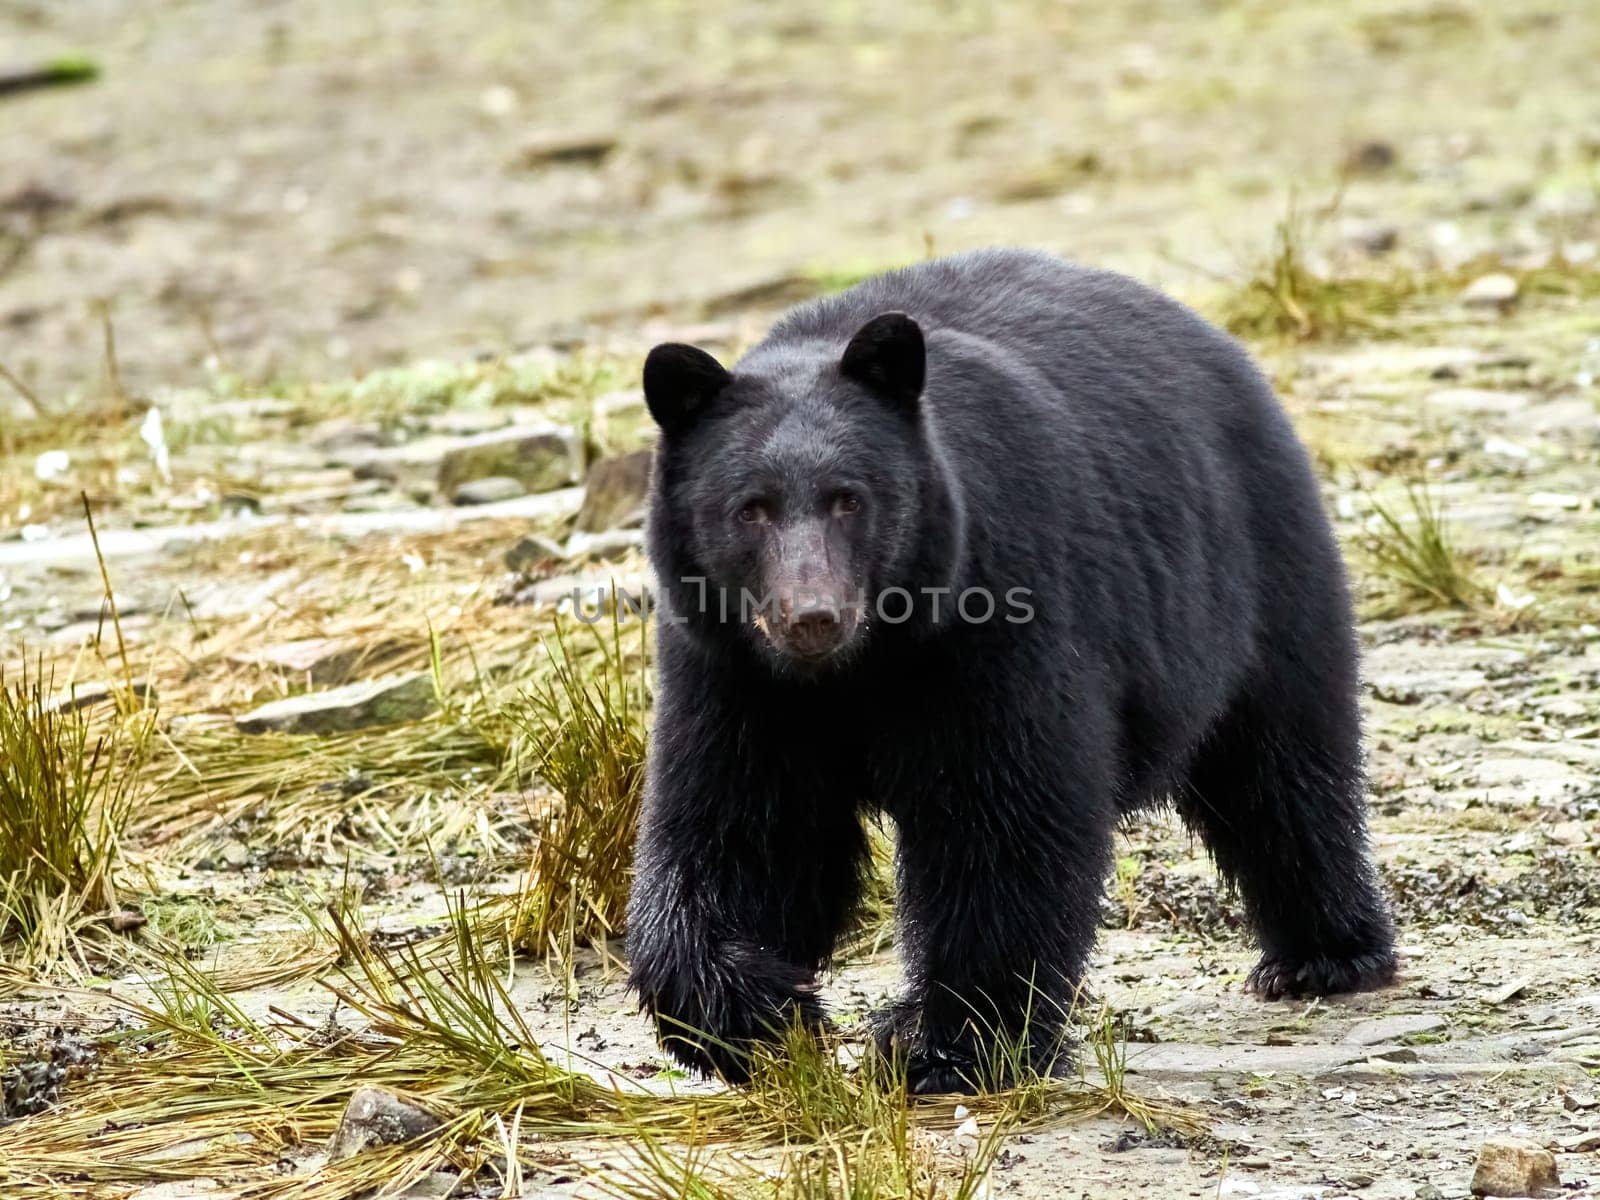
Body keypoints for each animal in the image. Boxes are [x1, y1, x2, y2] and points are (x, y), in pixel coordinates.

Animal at [617, 249, 1395, 1094]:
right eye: (749, 507)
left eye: (849, 498)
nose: (813, 617)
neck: (859, 669)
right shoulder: (735, 677)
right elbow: (740, 830)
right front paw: (756, 1014)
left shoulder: (993, 620)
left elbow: (1002, 822)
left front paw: (946, 1042)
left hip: (1254, 579)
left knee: (1283, 770)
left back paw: (1325, 954)